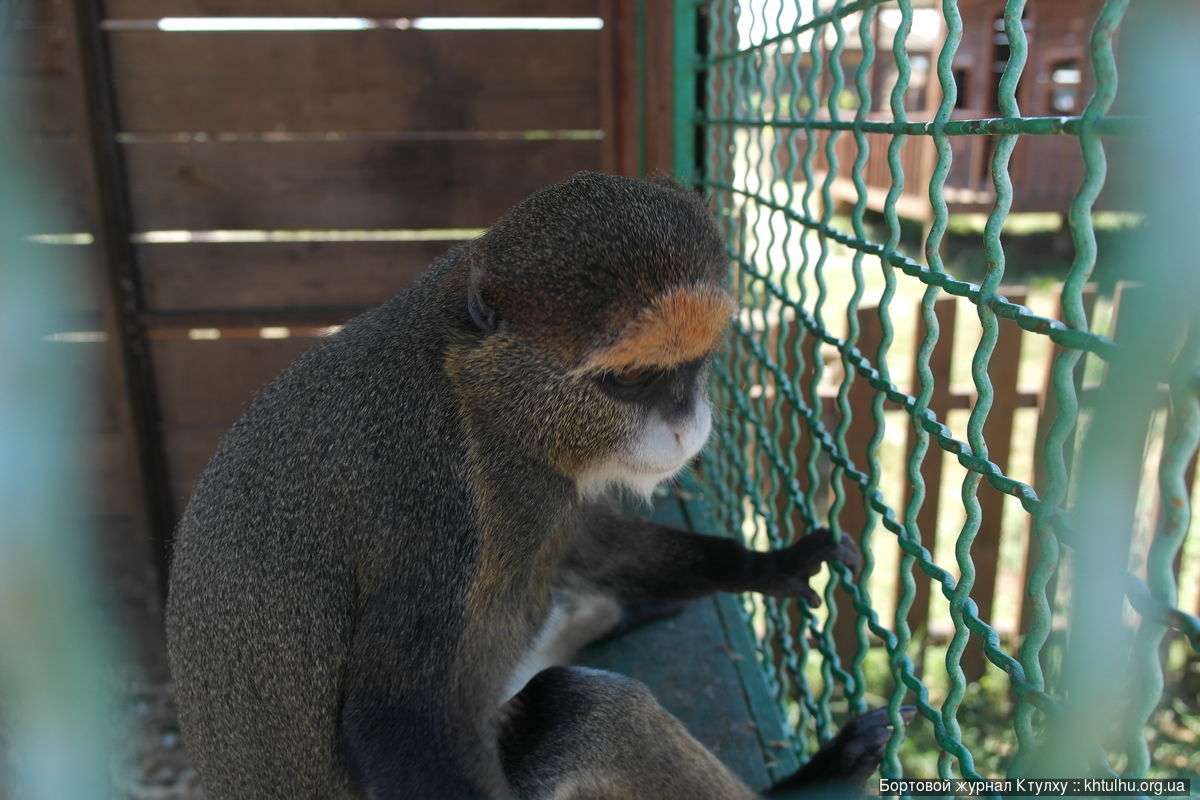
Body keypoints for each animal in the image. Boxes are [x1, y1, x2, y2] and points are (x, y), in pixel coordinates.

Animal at [166, 170, 907, 800]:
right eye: (631, 379)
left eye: (693, 365)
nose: (684, 422)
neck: (476, 395)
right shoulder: (439, 505)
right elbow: (396, 722)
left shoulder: (541, 488)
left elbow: (592, 543)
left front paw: (765, 563)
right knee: (588, 709)